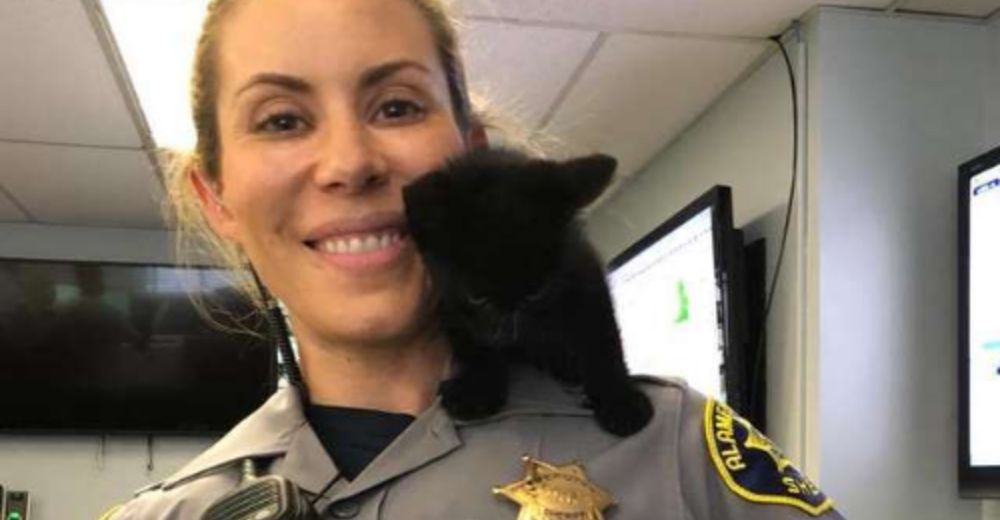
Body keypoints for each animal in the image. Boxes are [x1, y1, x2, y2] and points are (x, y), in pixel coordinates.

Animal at [402, 148, 652, 436]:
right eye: (476, 297)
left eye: (536, 292)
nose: (506, 335)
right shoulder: (447, 304)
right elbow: (471, 344)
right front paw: (478, 390)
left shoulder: (584, 275)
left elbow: (601, 338)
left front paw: (621, 401)